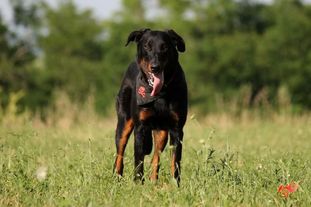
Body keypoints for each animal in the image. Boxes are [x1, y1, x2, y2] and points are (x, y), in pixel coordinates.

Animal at [114, 28, 188, 185]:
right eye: (147, 46)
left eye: (164, 47)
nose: (155, 67)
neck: (159, 95)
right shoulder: (140, 128)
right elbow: (138, 160)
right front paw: (137, 184)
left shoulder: (177, 129)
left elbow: (175, 161)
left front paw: (175, 185)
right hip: (124, 122)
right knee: (119, 153)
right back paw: (117, 177)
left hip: (162, 132)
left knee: (156, 157)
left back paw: (153, 182)